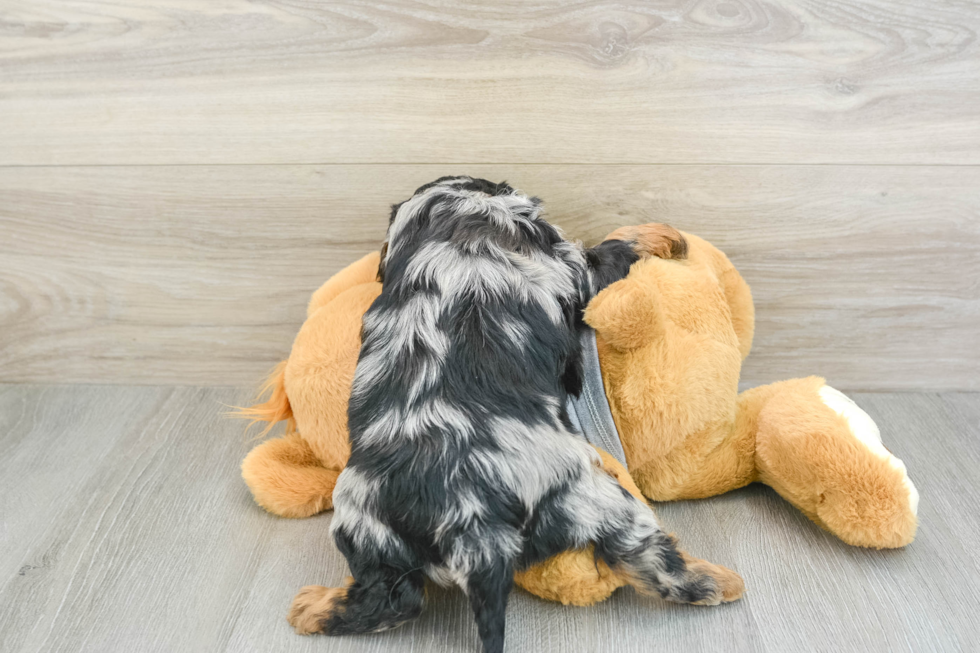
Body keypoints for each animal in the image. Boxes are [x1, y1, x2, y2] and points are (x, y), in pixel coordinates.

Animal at [290, 177, 744, 652]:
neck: (458, 229)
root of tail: (473, 527)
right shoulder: (573, 267)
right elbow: (613, 247)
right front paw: (665, 235)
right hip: (595, 500)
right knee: (649, 558)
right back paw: (722, 582)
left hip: (369, 525)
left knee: (392, 600)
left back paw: (314, 609)